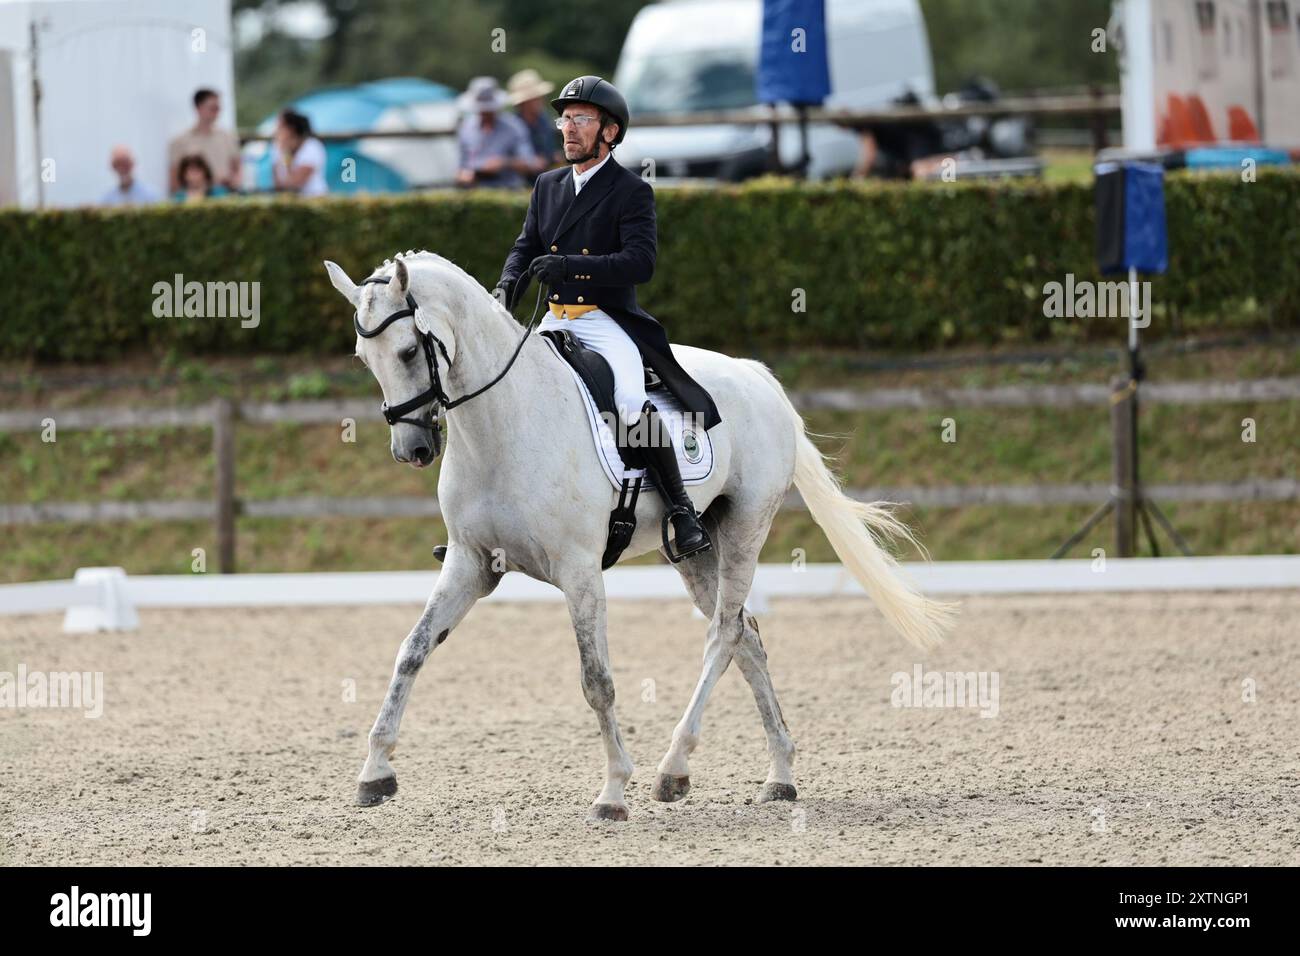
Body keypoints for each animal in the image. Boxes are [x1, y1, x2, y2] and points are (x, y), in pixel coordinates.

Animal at [325, 251, 956, 816]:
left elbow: (596, 680)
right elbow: (412, 650)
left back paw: (672, 769)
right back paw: (779, 776)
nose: (412, 450)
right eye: (364, 357)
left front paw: (612, 791)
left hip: (746, 526)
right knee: (748, 637)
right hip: (695, 549)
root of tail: (755, 375)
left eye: (409, 350)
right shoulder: (470, 564)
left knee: (725, 634)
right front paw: (374, 773)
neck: (501, 424)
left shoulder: (578, 570)